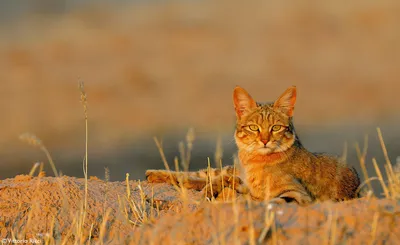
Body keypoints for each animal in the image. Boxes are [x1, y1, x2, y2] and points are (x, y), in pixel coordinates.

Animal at [146, 86, 360, 205]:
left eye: (275, 127)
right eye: (253, 127)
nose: (264, 140)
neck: (252, 160)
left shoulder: (296, 195)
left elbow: (255, 201)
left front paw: (222, 195)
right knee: (203, 173)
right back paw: (156, 174)